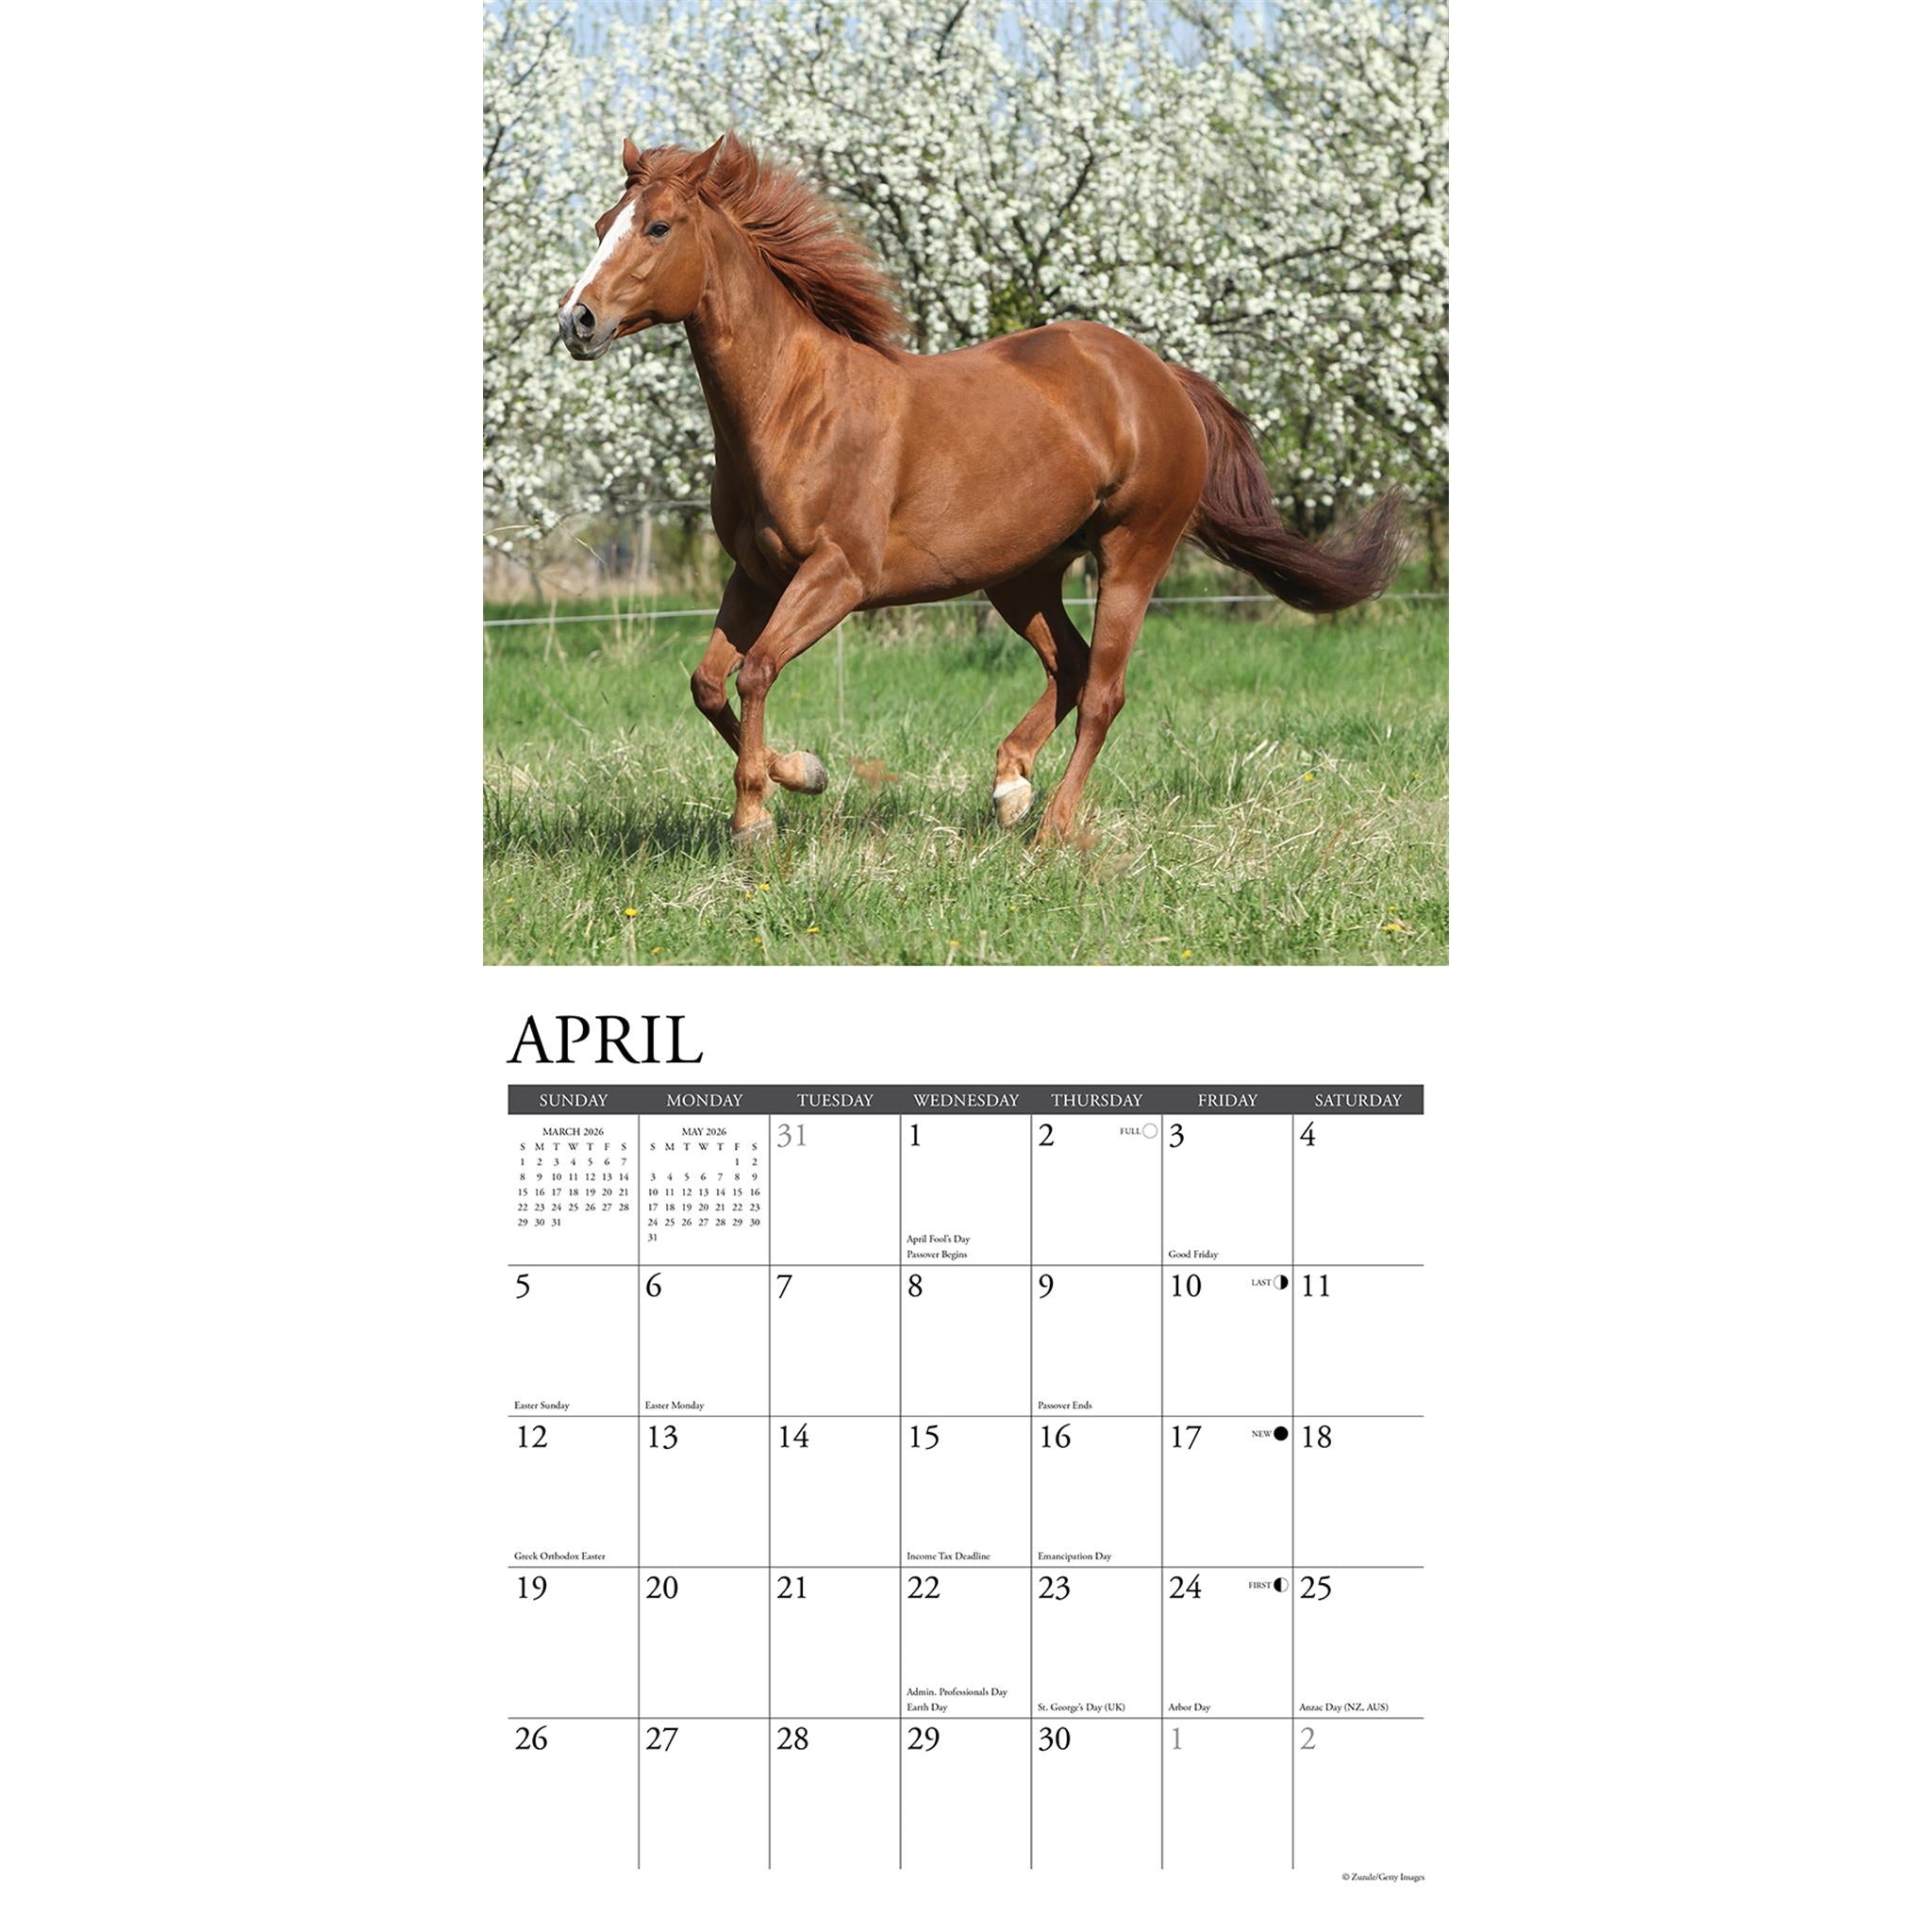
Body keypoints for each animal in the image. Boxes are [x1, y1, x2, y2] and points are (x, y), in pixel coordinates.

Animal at [558, 132, 1403, 845]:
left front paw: (757, 818)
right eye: (603, 222)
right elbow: (708, 683)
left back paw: (1053, 827)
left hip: (1133, 549)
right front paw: (800, 775)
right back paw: (1009, 788)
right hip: (1020, 572)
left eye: (658, 227)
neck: (795, 409)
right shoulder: (756, 574)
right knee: (1070, 664)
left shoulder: (838, 575)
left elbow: (758, 669)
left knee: (1105, 689)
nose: (577, 320)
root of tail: (1160, 376)